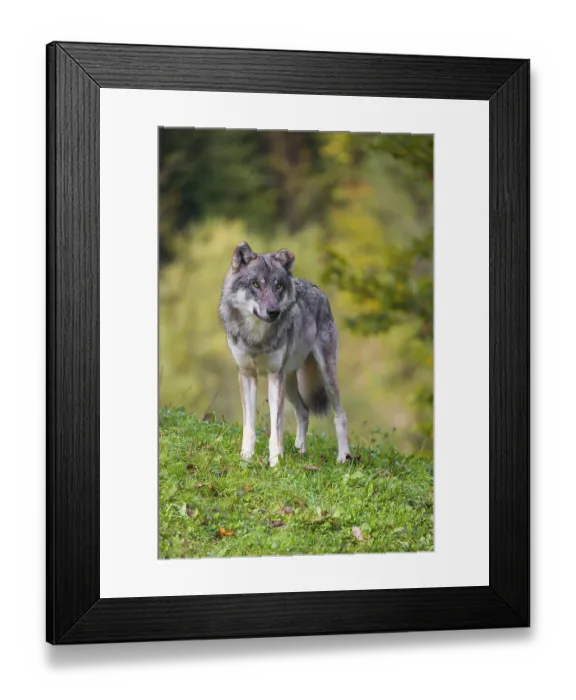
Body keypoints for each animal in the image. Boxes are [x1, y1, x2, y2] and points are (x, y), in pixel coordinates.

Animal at [218, 242, 351, 466]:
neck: (257, 336)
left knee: (340, 415)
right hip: (288, 383)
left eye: (278, 286)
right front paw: (246, 457)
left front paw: (276, 462)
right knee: (304, 410)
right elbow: (249, 426)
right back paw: (300, 450)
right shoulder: (247, 375)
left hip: (325, 375)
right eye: (255, 284)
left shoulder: (274, 376)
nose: (274, 312)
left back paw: (344, 456)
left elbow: (276, 427)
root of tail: (316, 289)